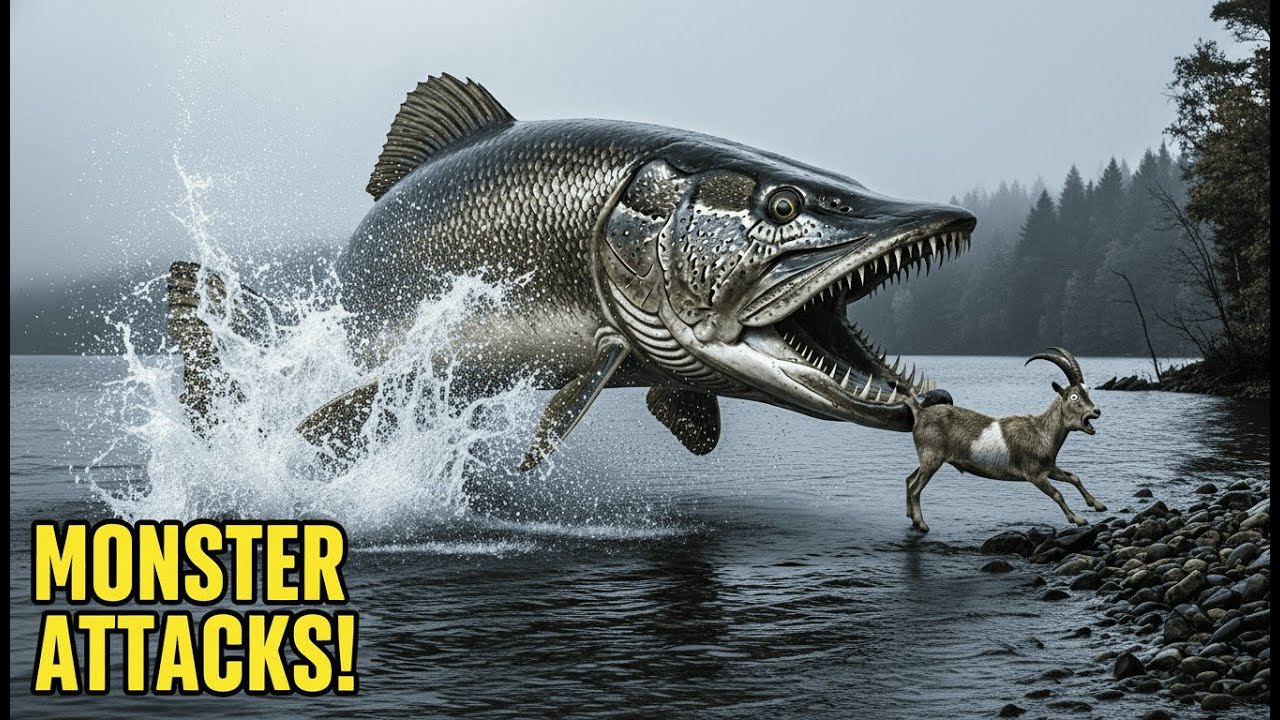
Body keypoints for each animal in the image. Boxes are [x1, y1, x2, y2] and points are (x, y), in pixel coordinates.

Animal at [903, 347, 1104, 532]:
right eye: (1073, 396)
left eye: (1087, 391)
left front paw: (1098, 505)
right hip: (932, 456)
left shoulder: (1049, 468)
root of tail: (920, 413)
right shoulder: (1034, 474)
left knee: (909, 479)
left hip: (928, 458)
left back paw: (911, 517)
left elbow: (1074, 478)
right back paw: (921, 524)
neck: (1041, 432)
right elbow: (1057, 494)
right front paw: (1078, 519)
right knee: (915, 487)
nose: (1096, 411)